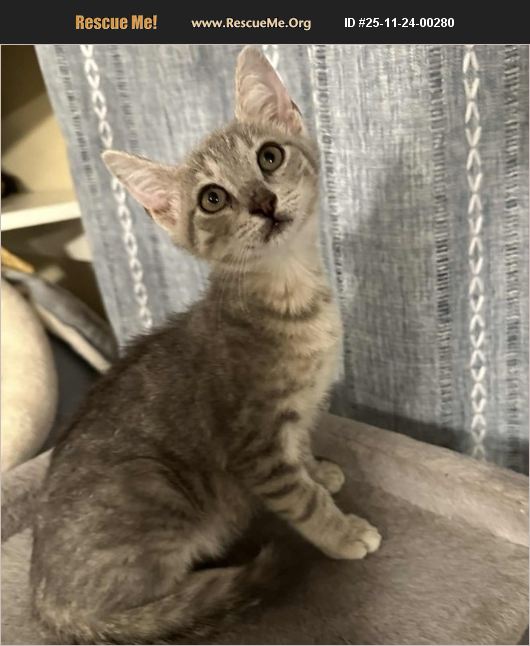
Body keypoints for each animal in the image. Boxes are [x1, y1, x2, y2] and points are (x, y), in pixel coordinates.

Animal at [30, 46, 381, 644]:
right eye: (212, 199)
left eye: (269, 156)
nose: (262, 201)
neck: (292, 296)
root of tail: (45, 602)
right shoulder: (255, 445)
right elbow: (302, 500)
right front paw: (341, 530)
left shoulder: (296, 415)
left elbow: (303, 452)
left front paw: (320, 469)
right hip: (152, 484)